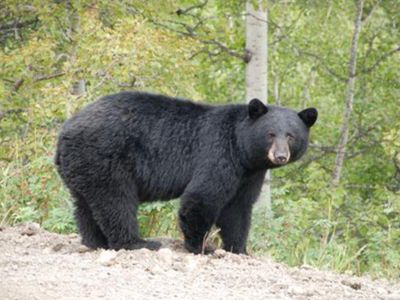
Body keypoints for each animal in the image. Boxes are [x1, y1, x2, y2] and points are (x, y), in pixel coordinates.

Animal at [54, 91, 318, 253]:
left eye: (291, 135)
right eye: (270, 134)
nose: (280, 156)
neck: (242, 150)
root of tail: (65, 131)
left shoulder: (249, 175)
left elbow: (238, 209)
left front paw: (239, 249)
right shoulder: (218, 154)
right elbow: (202, 197)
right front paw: (201, 246)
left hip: (83, 166)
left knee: (85, 205)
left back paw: (95, 241)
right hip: (106, 158)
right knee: (116, 202)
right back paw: (137, 242)